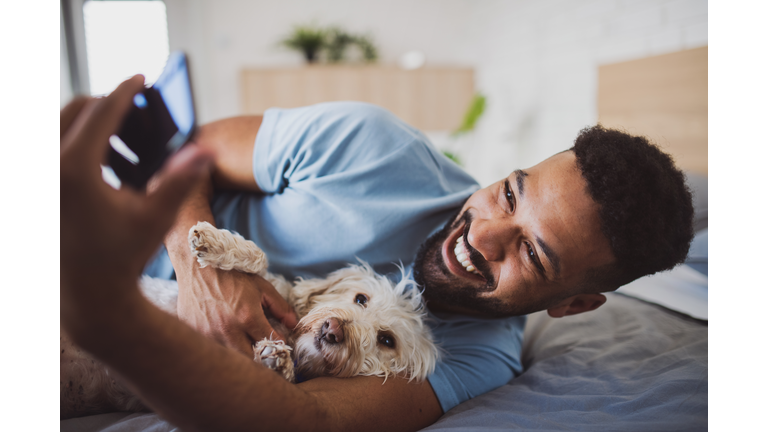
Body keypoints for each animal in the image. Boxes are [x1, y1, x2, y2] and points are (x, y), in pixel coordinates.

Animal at [60, 221, 438, 416]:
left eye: (386, 340)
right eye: (361, 299)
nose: (333, 330)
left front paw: (276, 361)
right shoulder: (271, 288)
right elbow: (260, 260)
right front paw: (215, 242)